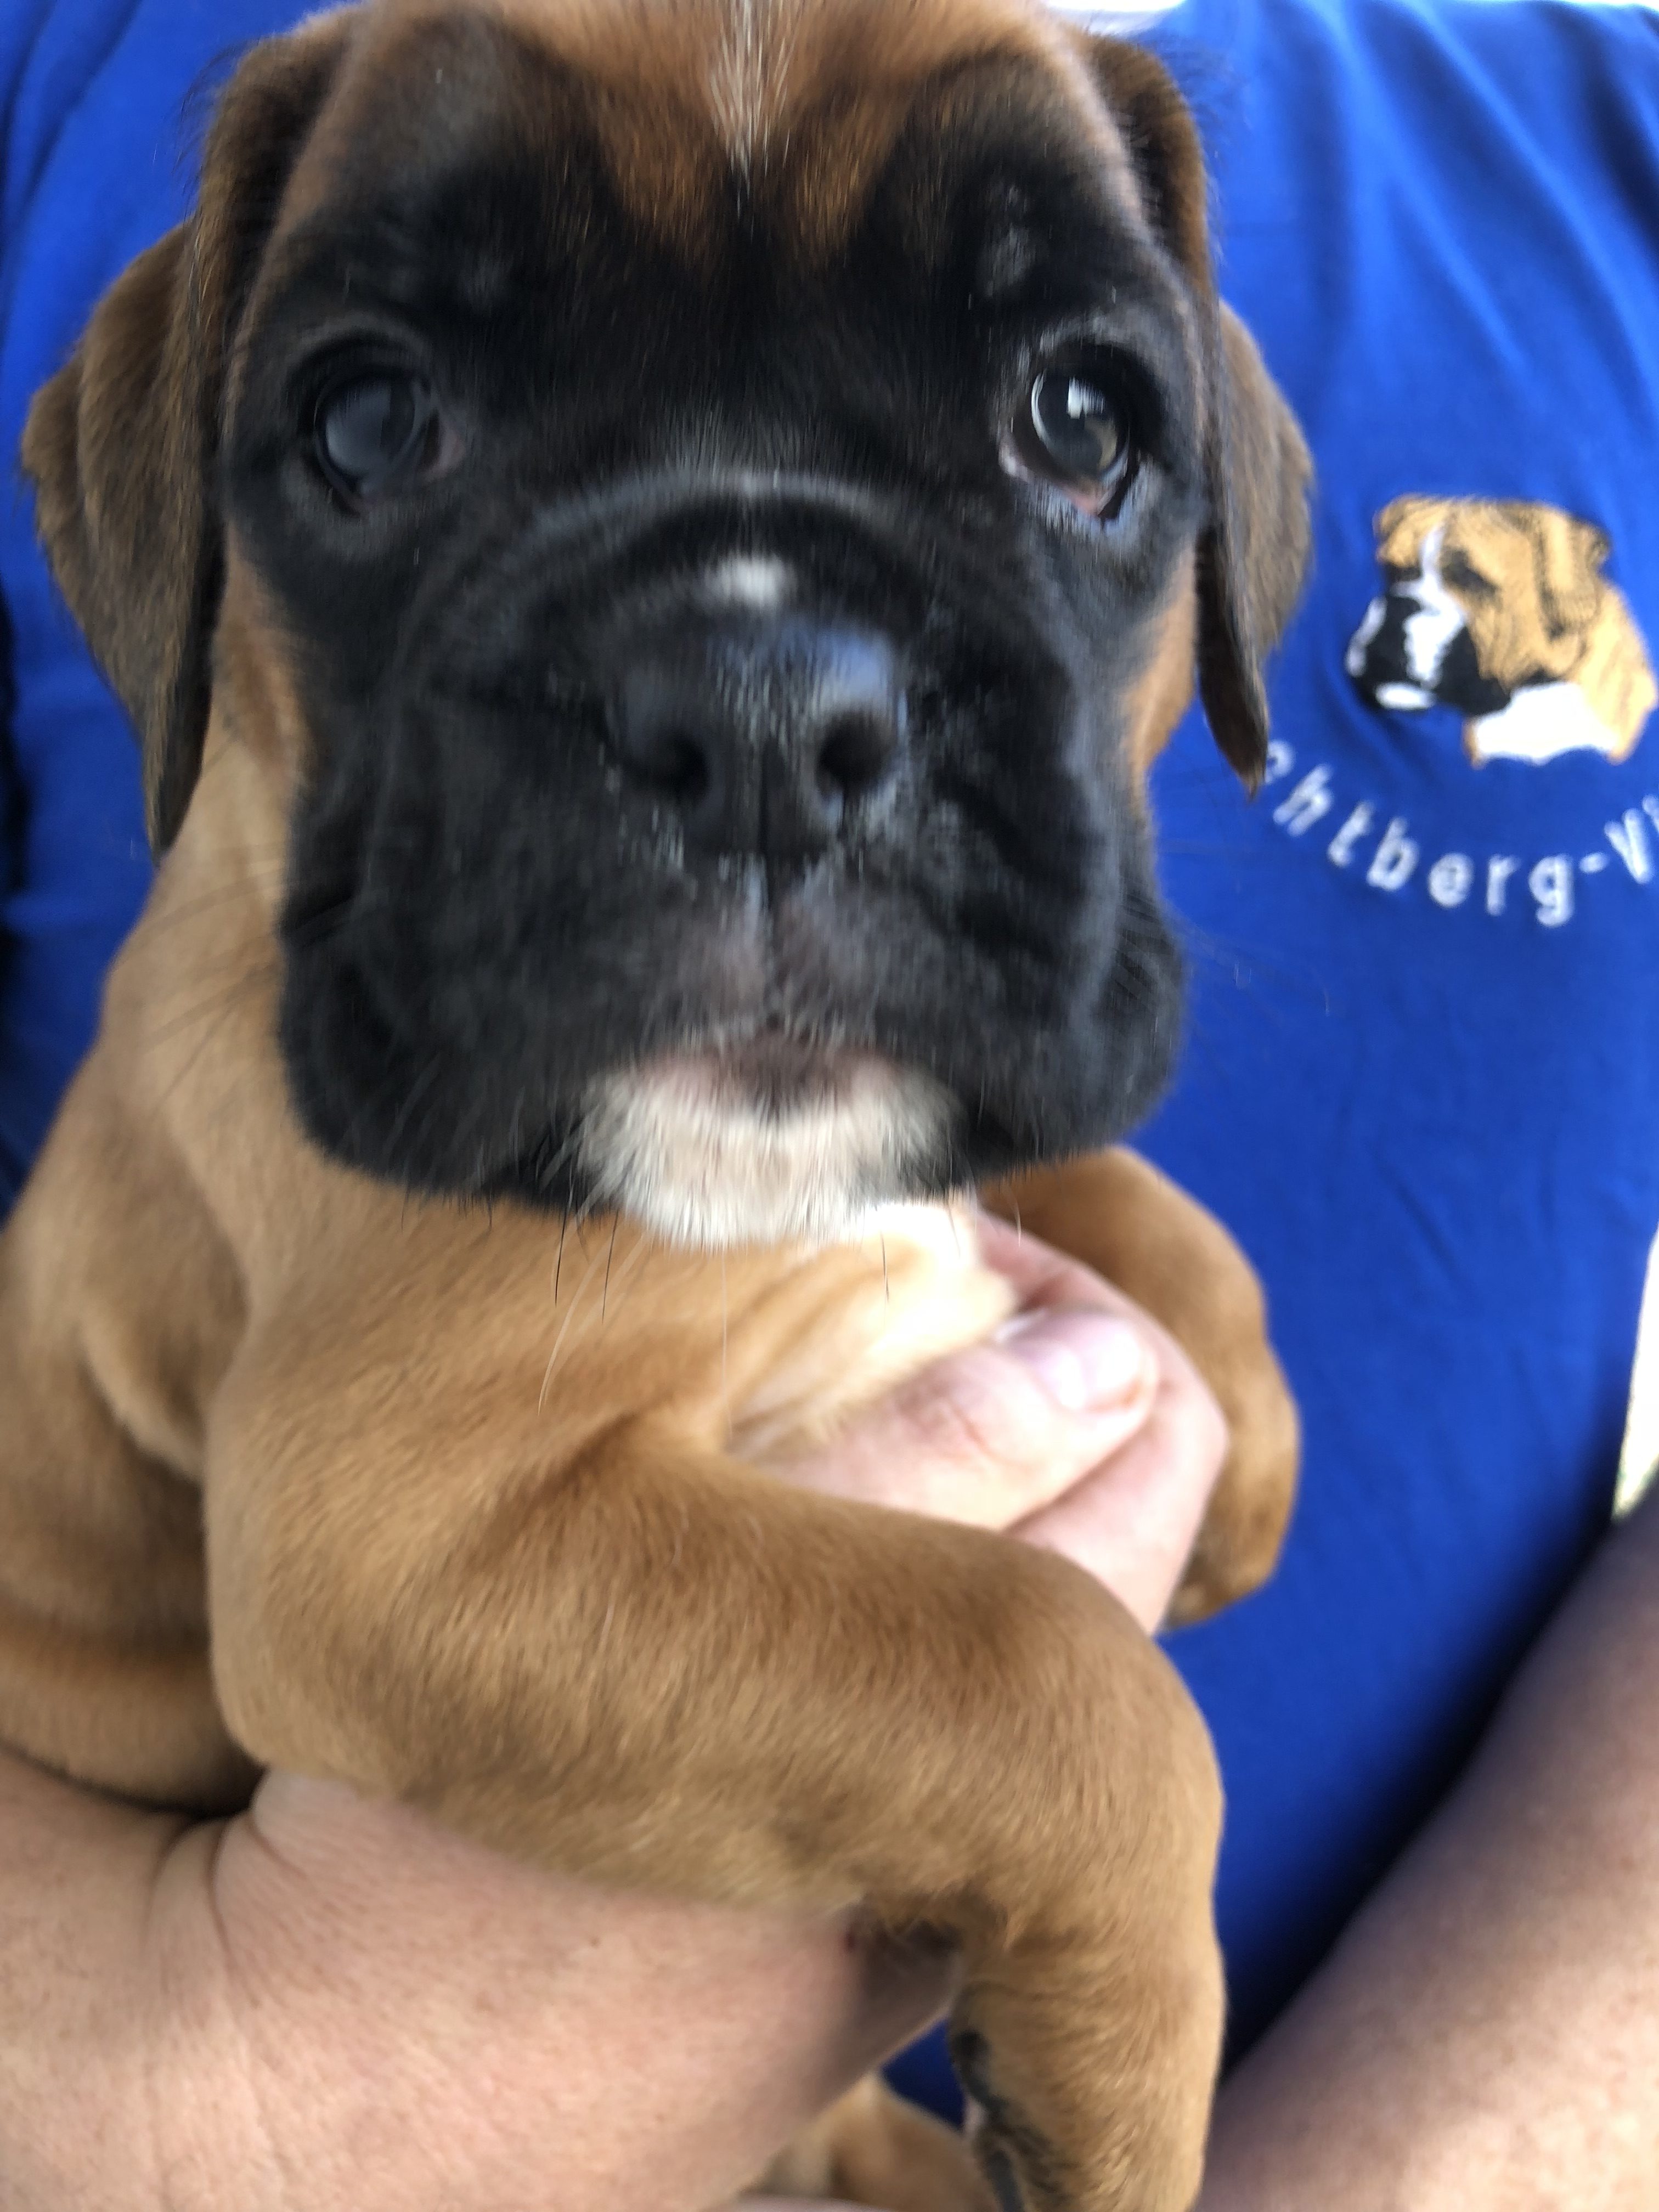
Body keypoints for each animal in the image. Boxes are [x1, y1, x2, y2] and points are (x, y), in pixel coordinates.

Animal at [0, 4, 1309, 2206]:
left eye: (1080, 419)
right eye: (369, 426)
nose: (767, 708)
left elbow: (1102, 1183)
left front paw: (1241, 1430)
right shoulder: (407, 1534)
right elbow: (1036, 1661)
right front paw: (1135, 2070)